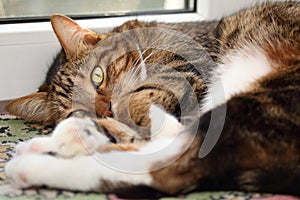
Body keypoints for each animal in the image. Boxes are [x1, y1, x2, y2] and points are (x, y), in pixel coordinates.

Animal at [4, 1, 300, 198]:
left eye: (97, 76)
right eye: (76, 110)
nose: (106, 110)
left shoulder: (186, 71)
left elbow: (144, 98)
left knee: (166, 168)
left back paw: (32, 163)